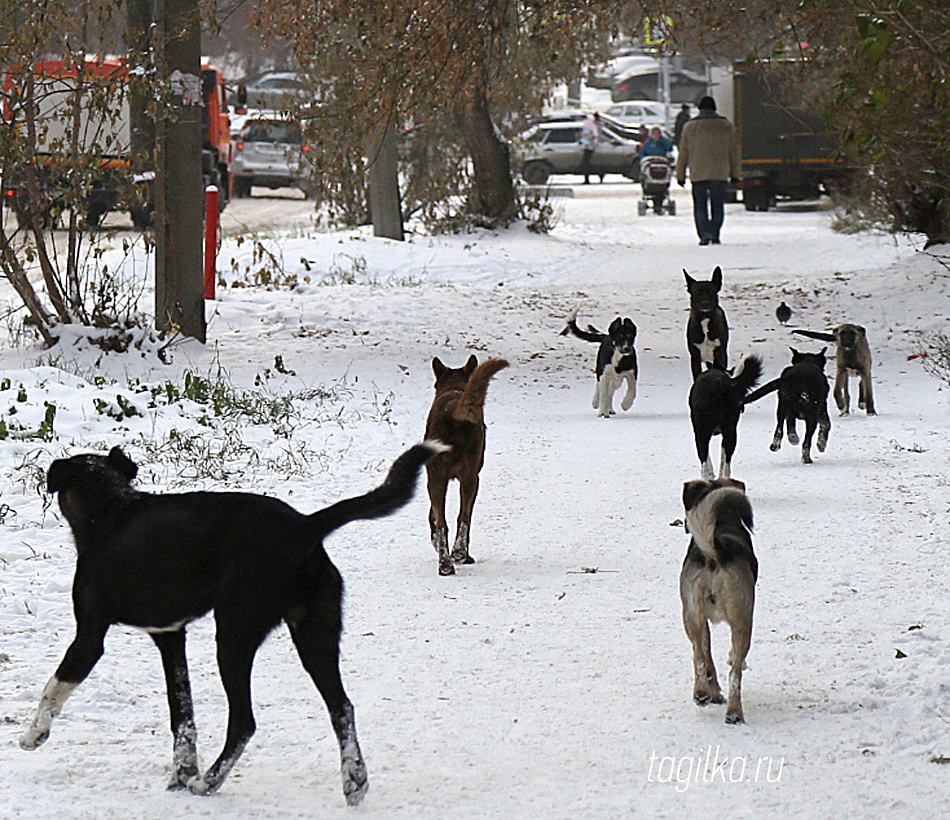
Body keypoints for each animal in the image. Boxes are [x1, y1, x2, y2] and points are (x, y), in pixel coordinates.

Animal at [18, 442, 442, 808]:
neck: (108, 509)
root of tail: (304, 527)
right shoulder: (170, 637)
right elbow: (182, 715)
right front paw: (181, 771)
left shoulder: (90, 635)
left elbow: (53, 687)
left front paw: (32, 734)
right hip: (314, 636)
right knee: (342, 708)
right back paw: (353, 780)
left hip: (235, 635)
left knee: (245, 721)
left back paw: (210, 781)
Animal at [426, 354, 510, 576]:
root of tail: (452, 409)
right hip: (467, 478)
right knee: (459, 519)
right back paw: (454, 559)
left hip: (449, 478)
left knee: (450, 521)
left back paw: (451, 561)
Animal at [688, 356, 764, 484]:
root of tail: (720, 385)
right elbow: (723, 460)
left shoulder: (699, 432)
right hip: (730, 432)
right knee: (727, 466)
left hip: (702, 432)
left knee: (704, 461)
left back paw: (705, 479)